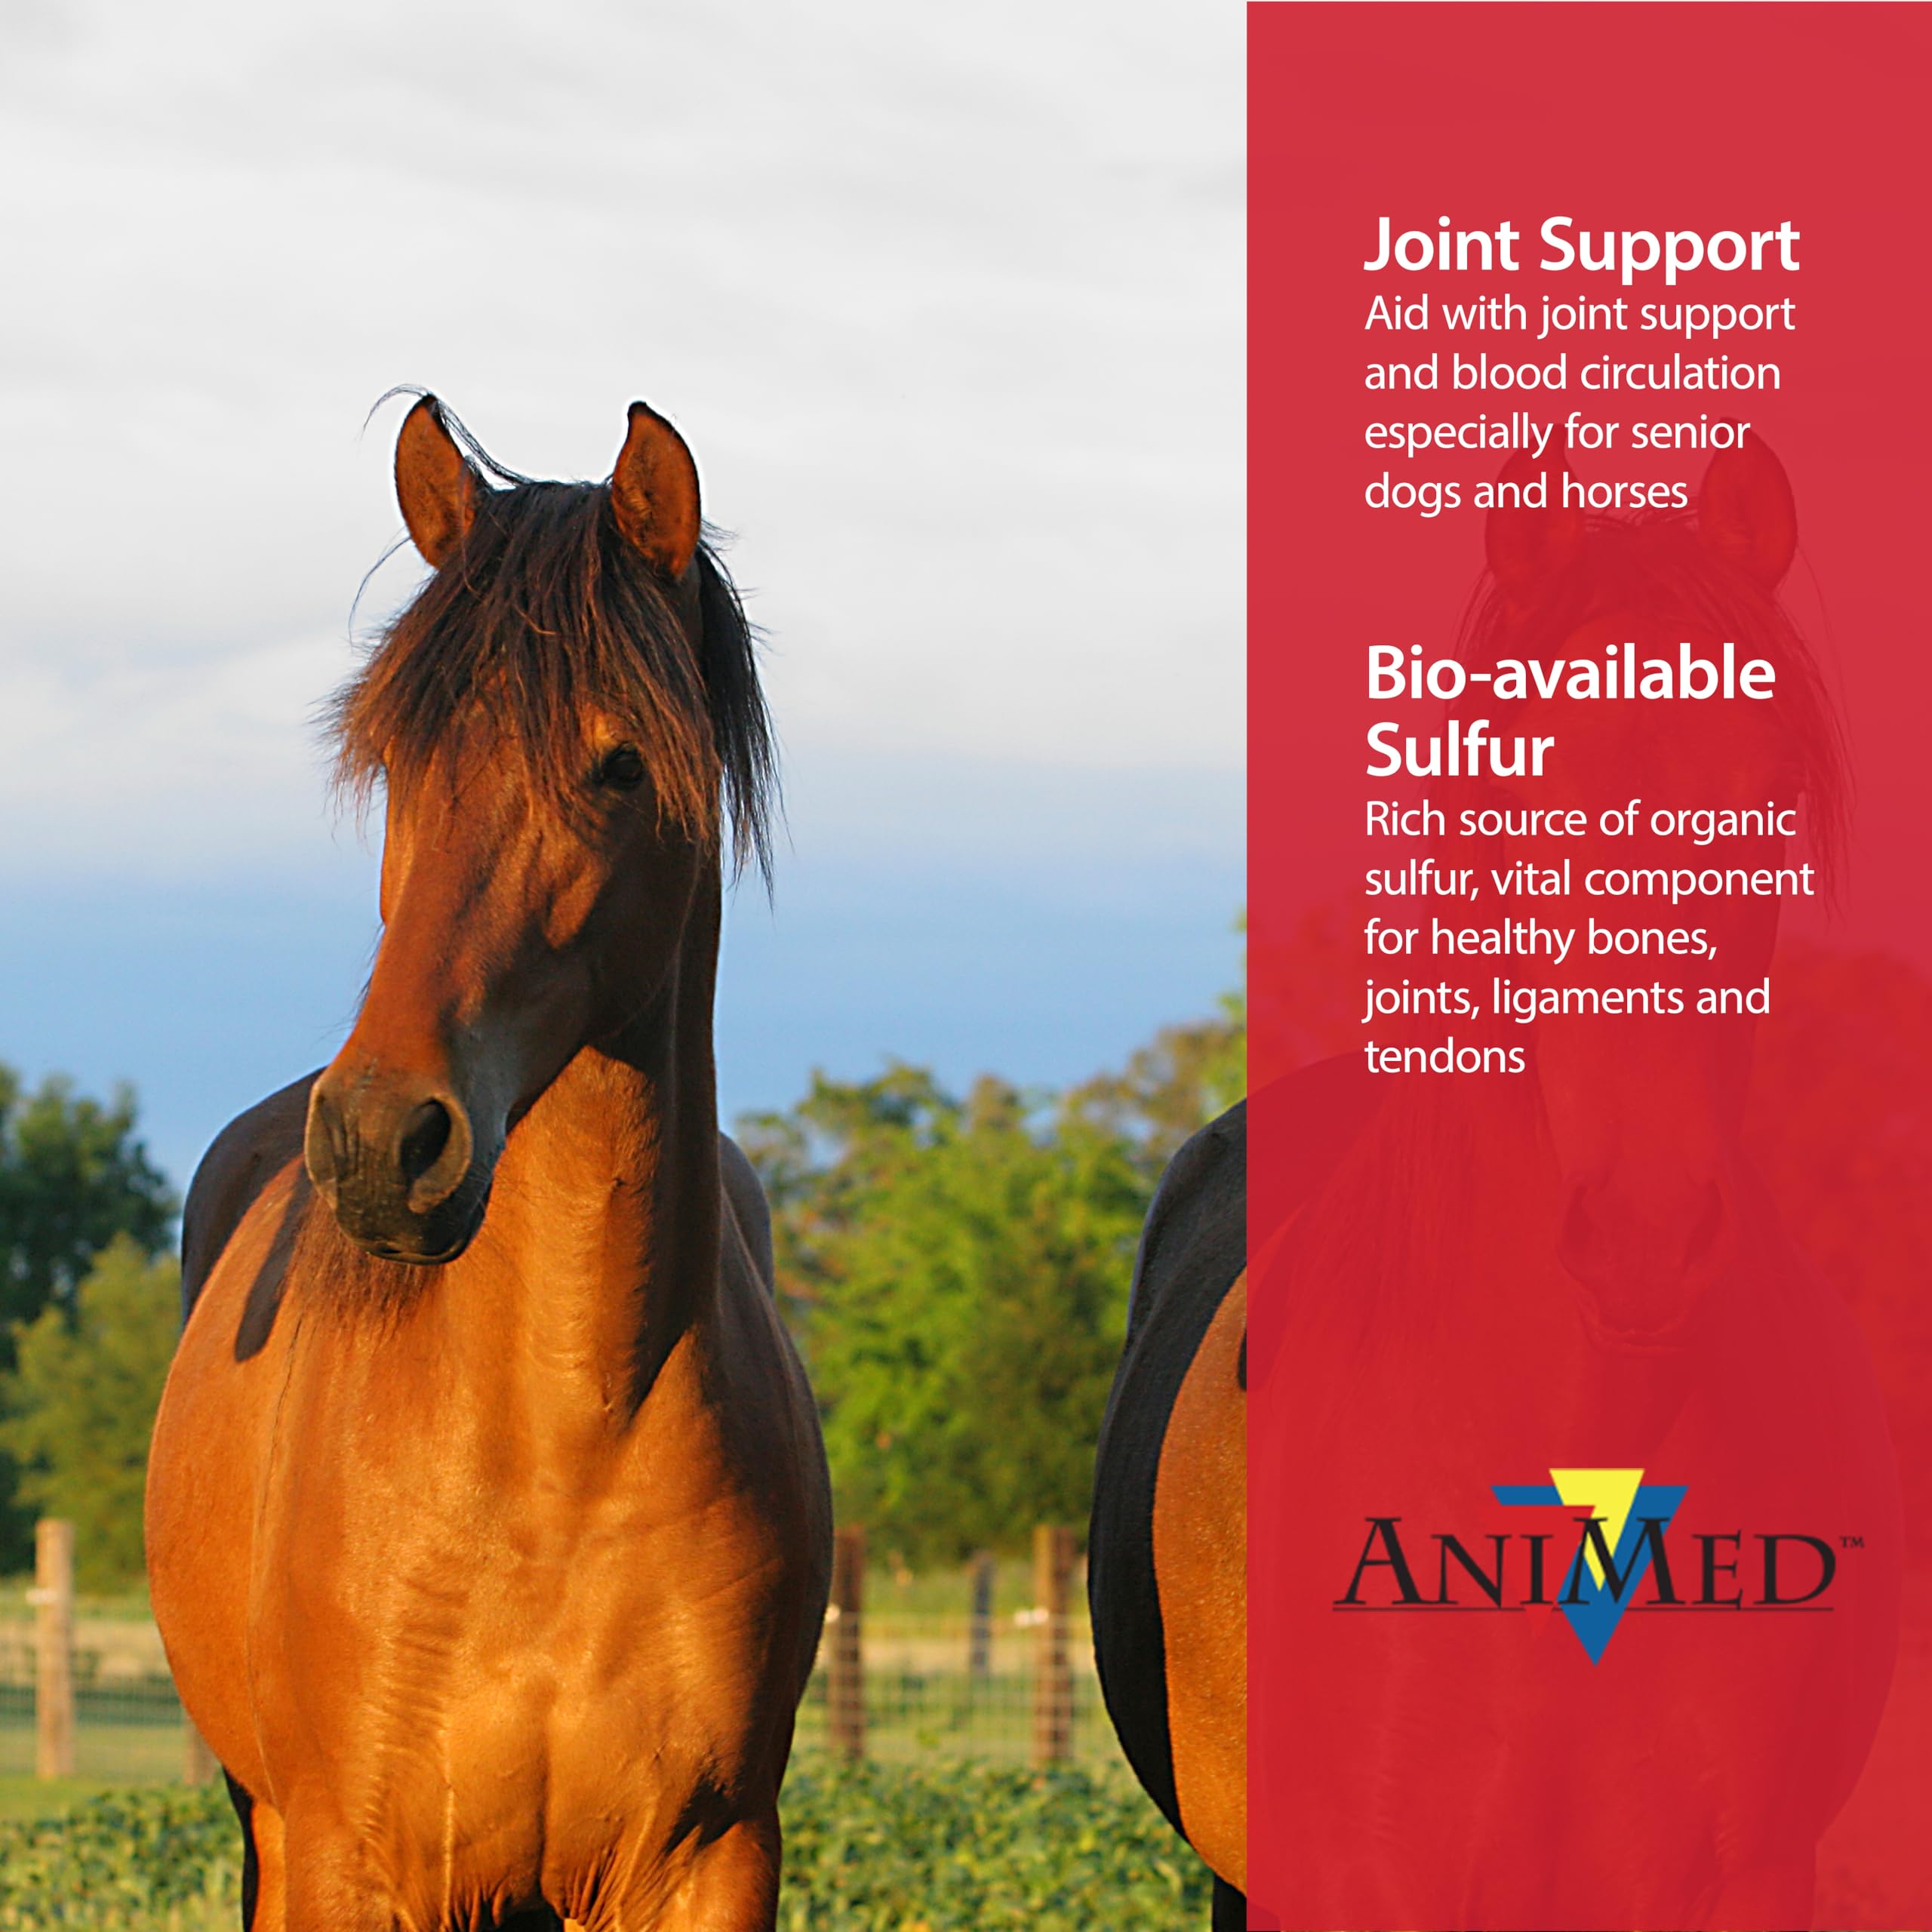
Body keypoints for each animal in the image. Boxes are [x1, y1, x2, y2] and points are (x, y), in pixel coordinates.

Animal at [146, 396, 832, 1932]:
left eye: (622, 764)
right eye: (398, 757)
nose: (379, 1143)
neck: (560, 1447)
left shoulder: (711, 1863)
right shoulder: (349, 1864)